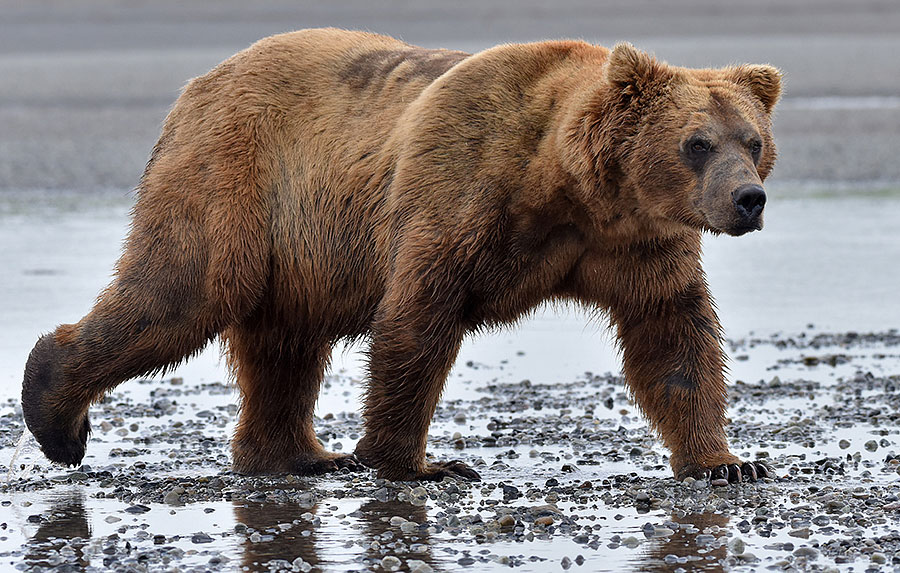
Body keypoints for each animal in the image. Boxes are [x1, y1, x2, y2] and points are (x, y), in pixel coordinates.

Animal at [21, 27, 780, 482]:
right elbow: (417, 322)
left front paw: (725, 461)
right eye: (697, 142)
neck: (569, 187)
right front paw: (415, 462)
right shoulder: (461, 191)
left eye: (752, 138)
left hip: (297, 249)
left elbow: (673, 338)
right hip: (236, 178)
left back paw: (297, 455)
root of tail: (195, 86)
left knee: (284, 344)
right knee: (182, 292)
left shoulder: (636, 243)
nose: (749, 198)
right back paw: (56, 411)